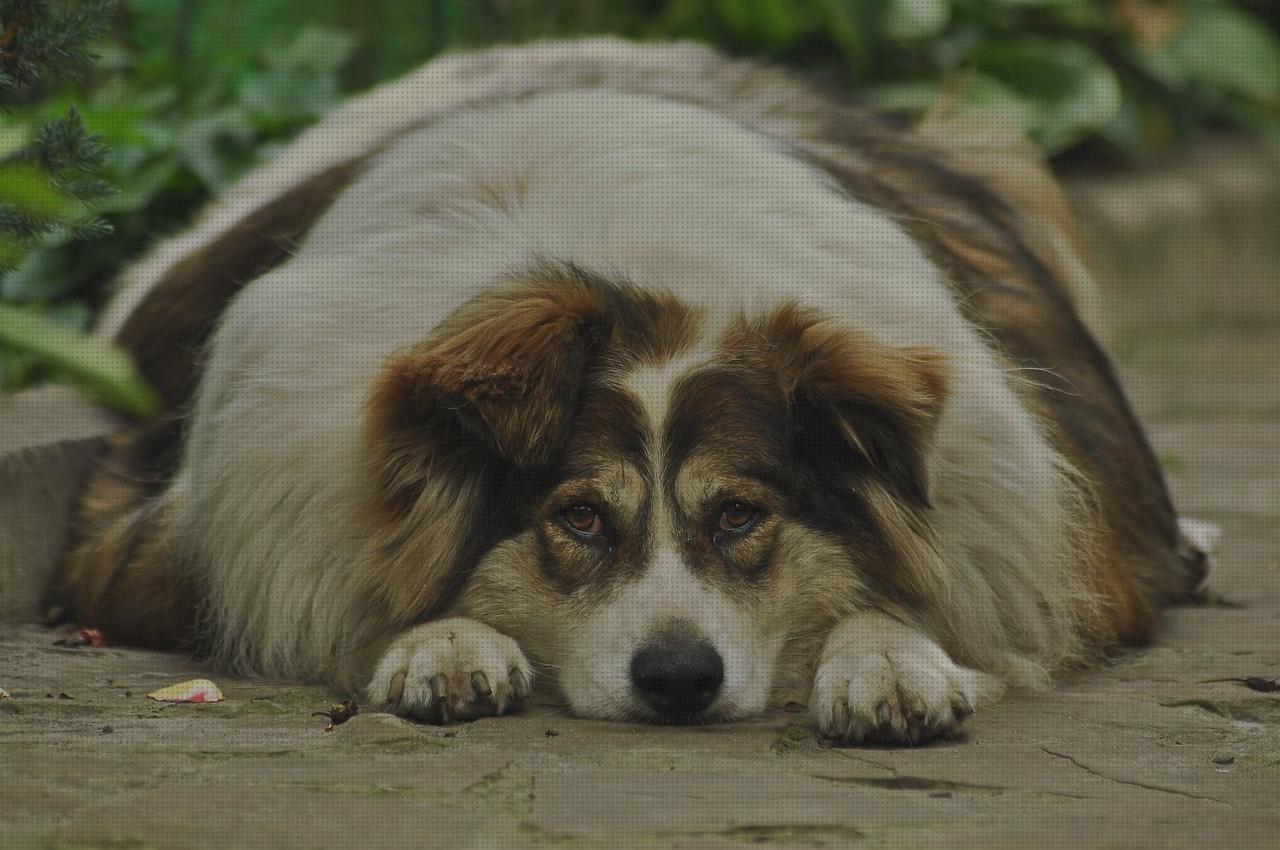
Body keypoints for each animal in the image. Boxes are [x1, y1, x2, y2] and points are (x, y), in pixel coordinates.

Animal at [52, 39, 1208, 742]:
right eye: (577, 519)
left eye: (740, 515)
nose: (679, 681)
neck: (618, 277)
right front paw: (441, 640)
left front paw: (887, 658)